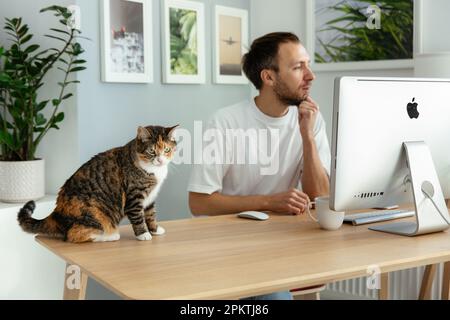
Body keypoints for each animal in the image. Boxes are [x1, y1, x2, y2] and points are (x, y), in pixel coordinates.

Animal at [18, 125, 178, 242]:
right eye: (151, 151)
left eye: (167, 149)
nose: (160, 160)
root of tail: (56, 213)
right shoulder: (134, 196)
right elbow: (138, 217)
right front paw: (143, 234)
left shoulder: (149, 198)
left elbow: (150, 214)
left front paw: (155, 230)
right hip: (94, 212)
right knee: (73, 235)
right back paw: (110, 236)